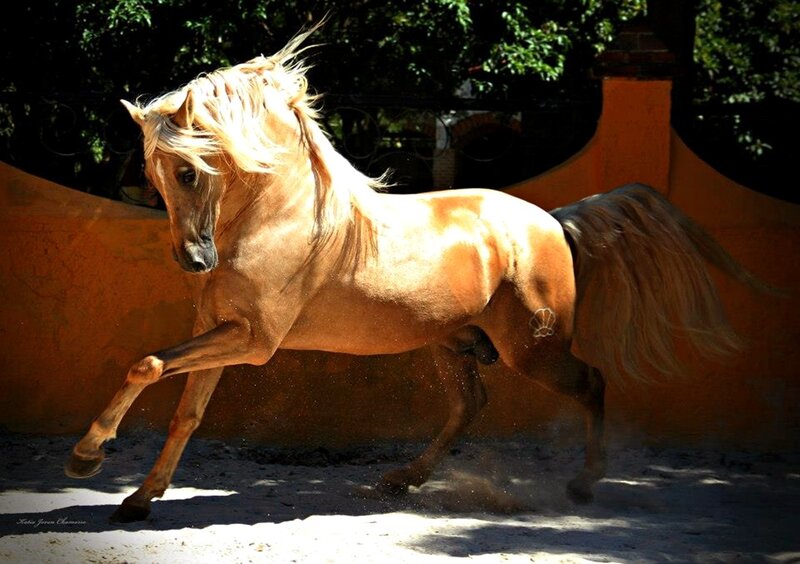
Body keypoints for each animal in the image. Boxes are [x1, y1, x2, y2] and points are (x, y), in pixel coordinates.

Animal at [64, 28, 764, 523]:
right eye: (153, 175)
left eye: (188, 170)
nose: (193, 261)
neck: (280, 217)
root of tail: (555, 222)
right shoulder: (219, 331)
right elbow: (185, 411)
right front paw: (136, 498)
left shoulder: (253, 340)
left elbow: (147, 363)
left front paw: (86, 457)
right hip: (451, 343)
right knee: (469, 405)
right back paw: (401, 479)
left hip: (533, 348)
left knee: (591, 383)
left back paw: (583, 486)